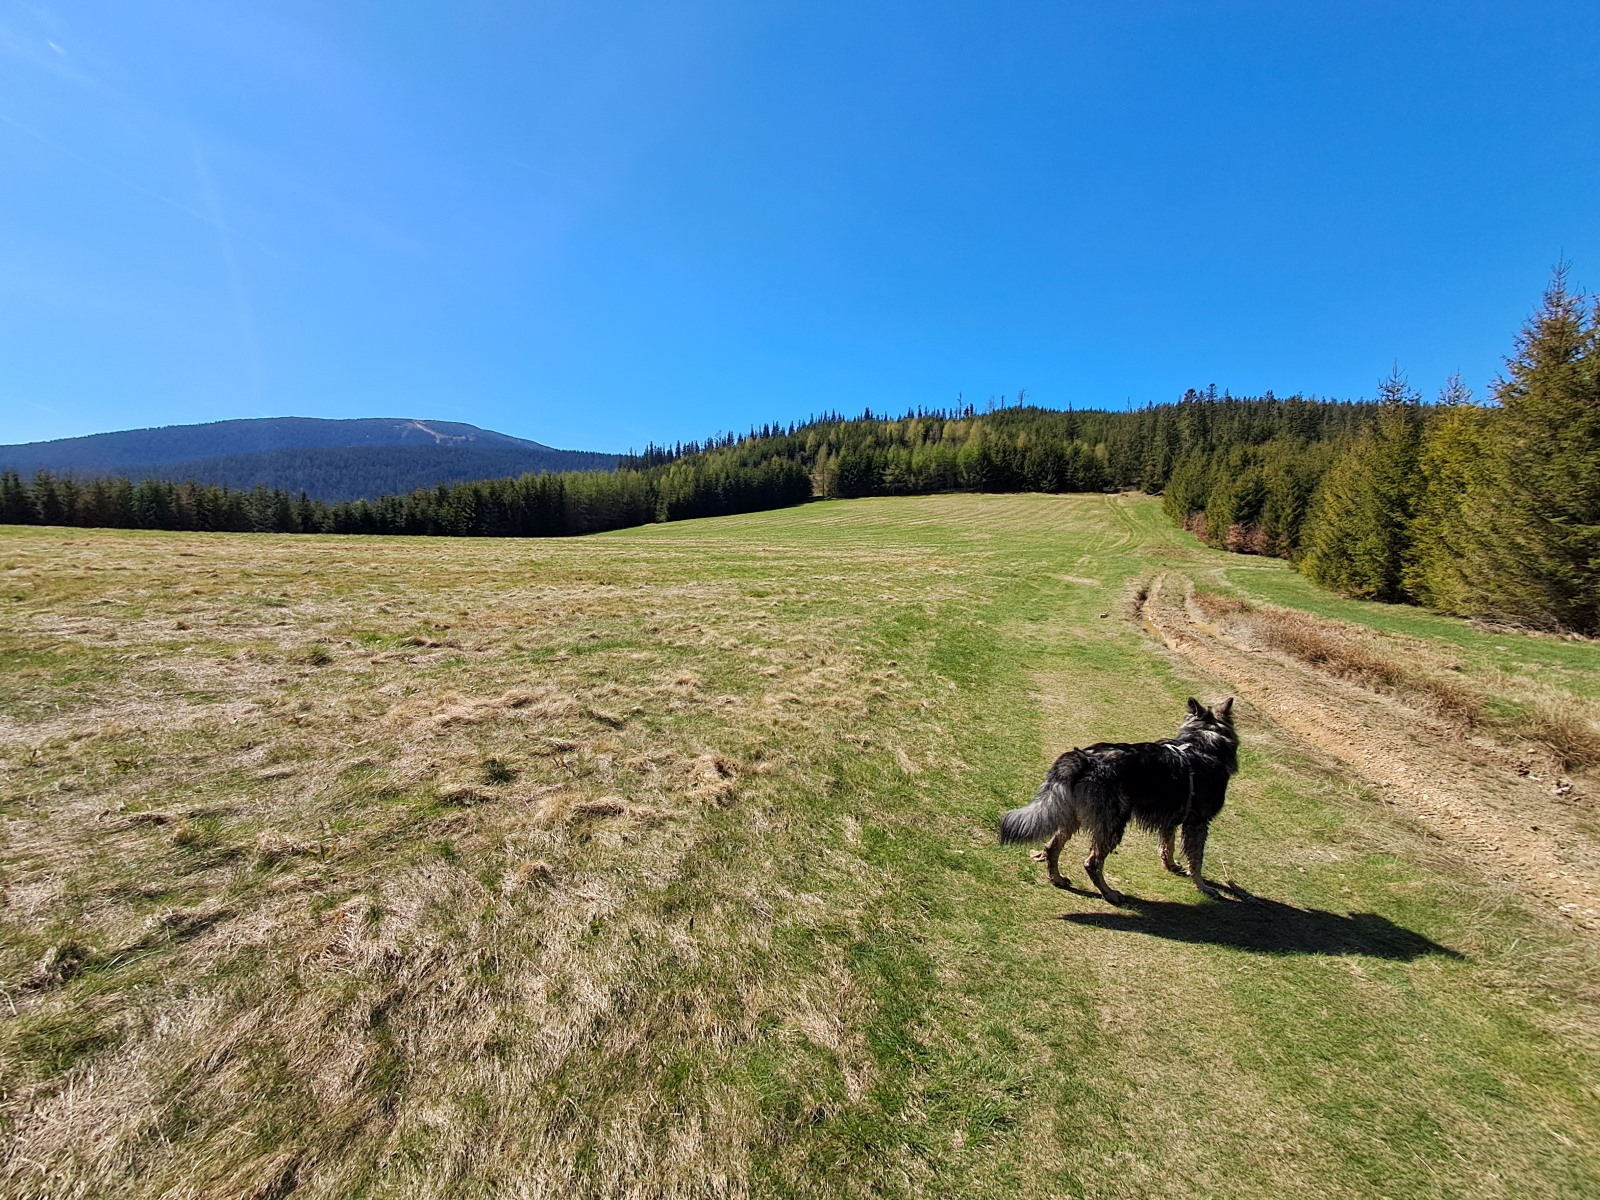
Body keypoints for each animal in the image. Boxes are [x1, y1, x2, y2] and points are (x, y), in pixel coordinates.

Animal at [999, 697, 1238, 903]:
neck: (1202, 743)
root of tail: (1083, 759)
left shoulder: (1171, 817)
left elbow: (1167, 845)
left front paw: (1170, 865)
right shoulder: (1198, 824)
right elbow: (1196, 860)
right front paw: (1202, 887)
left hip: (1073, 818)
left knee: (1051, 847)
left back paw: (1057, 878)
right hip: (1113, 825)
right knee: (1092, 863)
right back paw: (1109, 893)